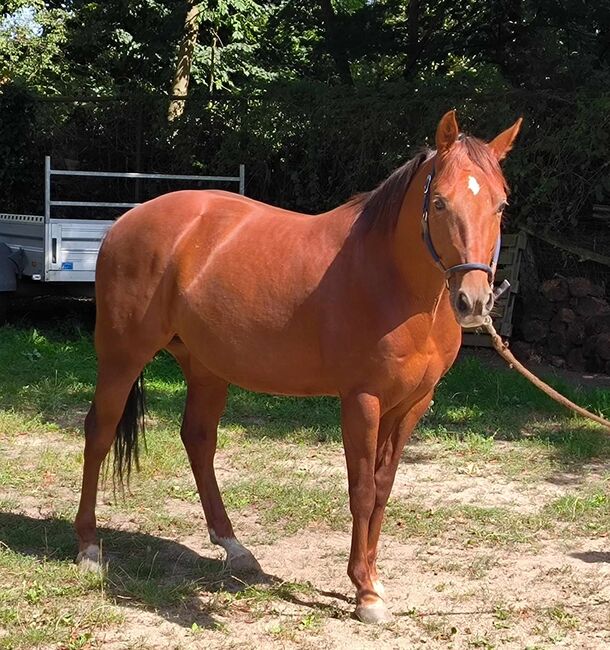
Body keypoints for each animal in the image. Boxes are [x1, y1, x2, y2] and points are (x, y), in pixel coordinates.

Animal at [75, 112, 516, 624]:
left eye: (500, 205)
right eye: (440, 202)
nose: (473, 301)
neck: (392, 280)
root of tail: (126, 220)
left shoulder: (412, 404)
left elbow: (382, 488)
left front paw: (372, 579)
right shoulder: (362, 400)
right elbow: (362, 490)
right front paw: (364, 593)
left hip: (206, 367)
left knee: (198, 440)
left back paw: (235, 548)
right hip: (122, 357)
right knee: (99, 432)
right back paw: (89, 547)